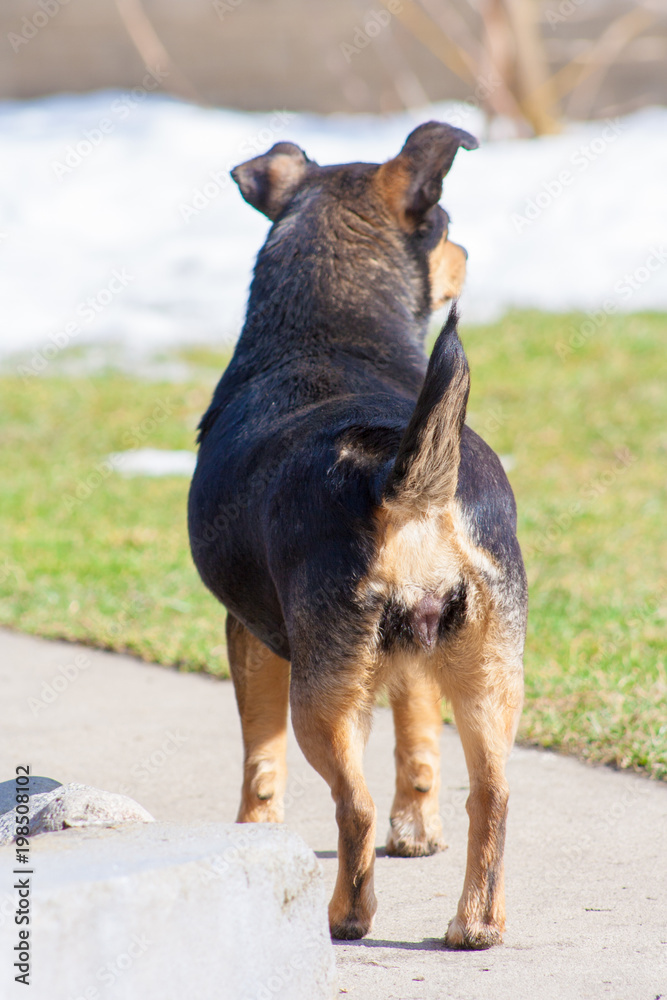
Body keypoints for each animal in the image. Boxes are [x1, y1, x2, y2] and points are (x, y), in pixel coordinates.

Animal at [188, 121, 528, 948]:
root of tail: (402, 479)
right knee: (492, 794)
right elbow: (418, 738)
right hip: (487, 664)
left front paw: (254, 832)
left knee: (353, 803)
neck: (330, 329)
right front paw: (419, 828)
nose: (465, 250)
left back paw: (347, 915)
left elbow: (258, 754)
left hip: (325, 687)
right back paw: (476, 923)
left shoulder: (248, 633)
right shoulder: (412, 657)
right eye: (444, 224)